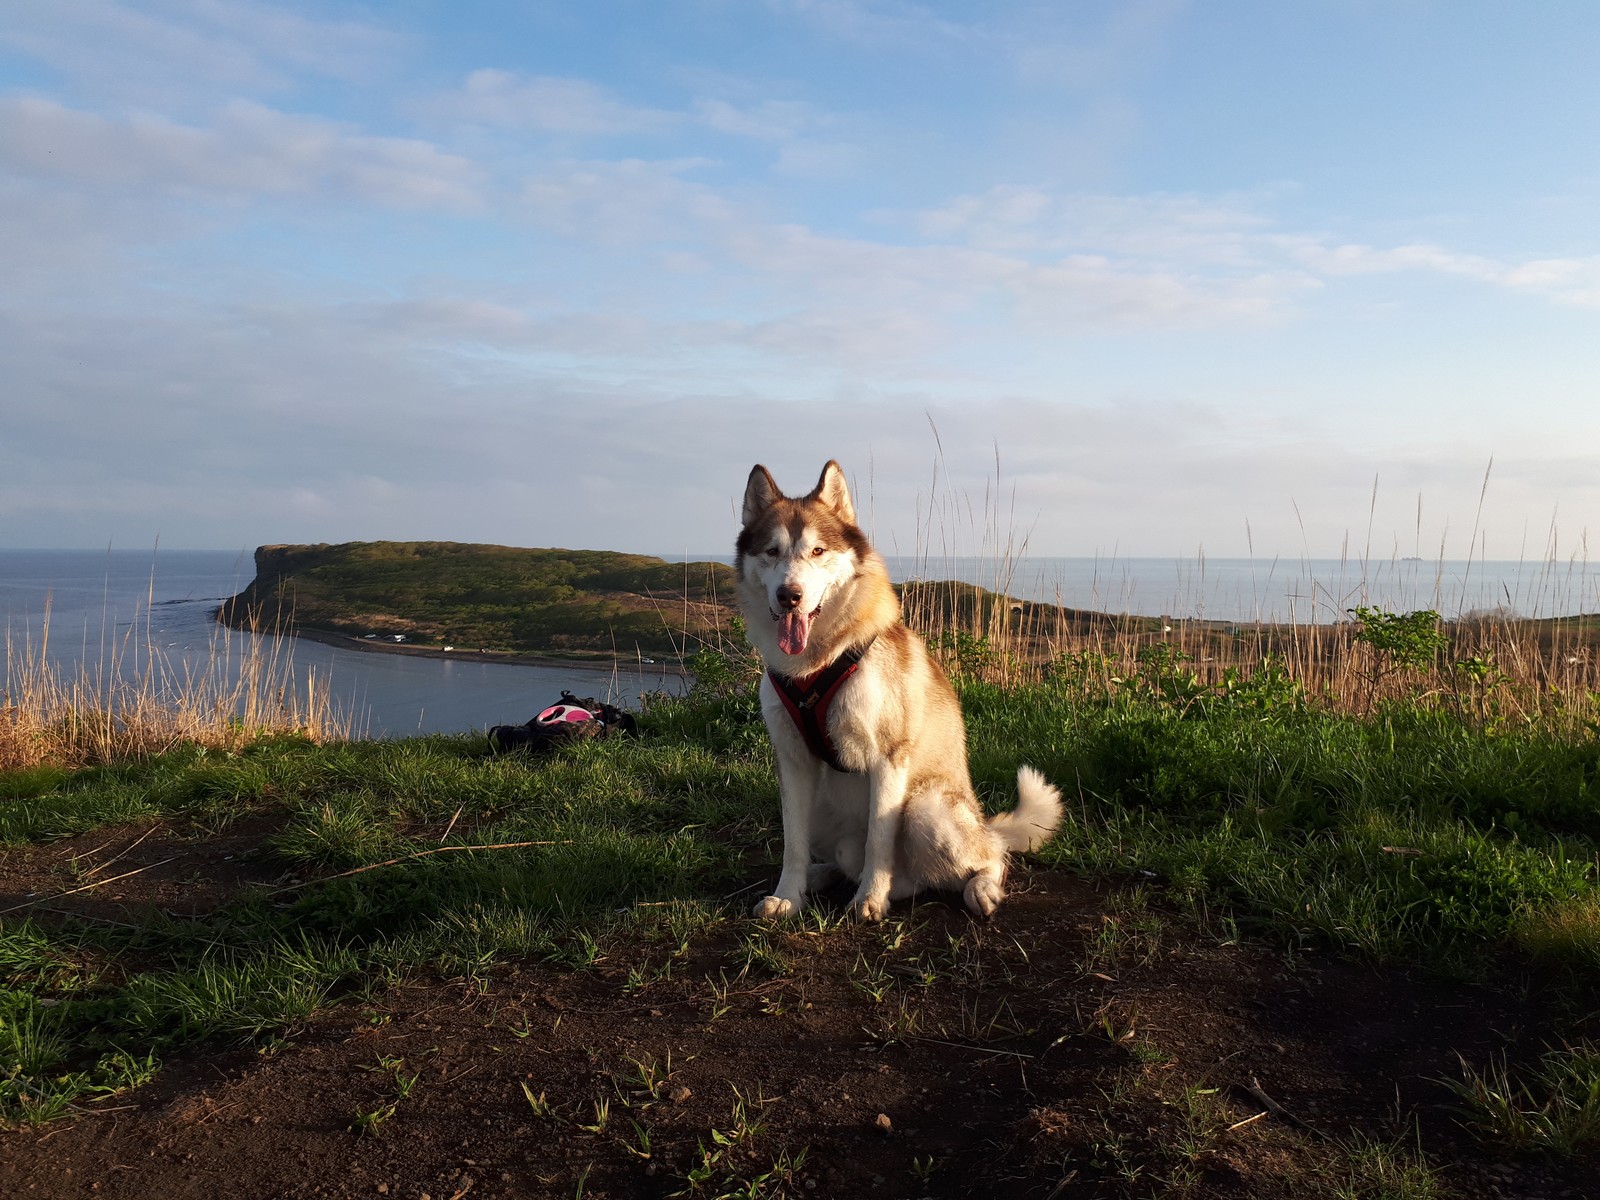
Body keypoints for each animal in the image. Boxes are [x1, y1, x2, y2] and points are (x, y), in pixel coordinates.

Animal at [732, 457, 1062, 921]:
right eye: (771, 552)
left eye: (817, 551)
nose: (789, 596)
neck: (816, 664)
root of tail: (982, 822)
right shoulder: (792, 761)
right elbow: (792, 842)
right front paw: (788, 895)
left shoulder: (887, 756)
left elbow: (879, 838)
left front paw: (870, 898)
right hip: (825, 813)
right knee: (885, 874)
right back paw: (824, 876)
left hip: (928, 809)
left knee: (990, 857)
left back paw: (978, 888)